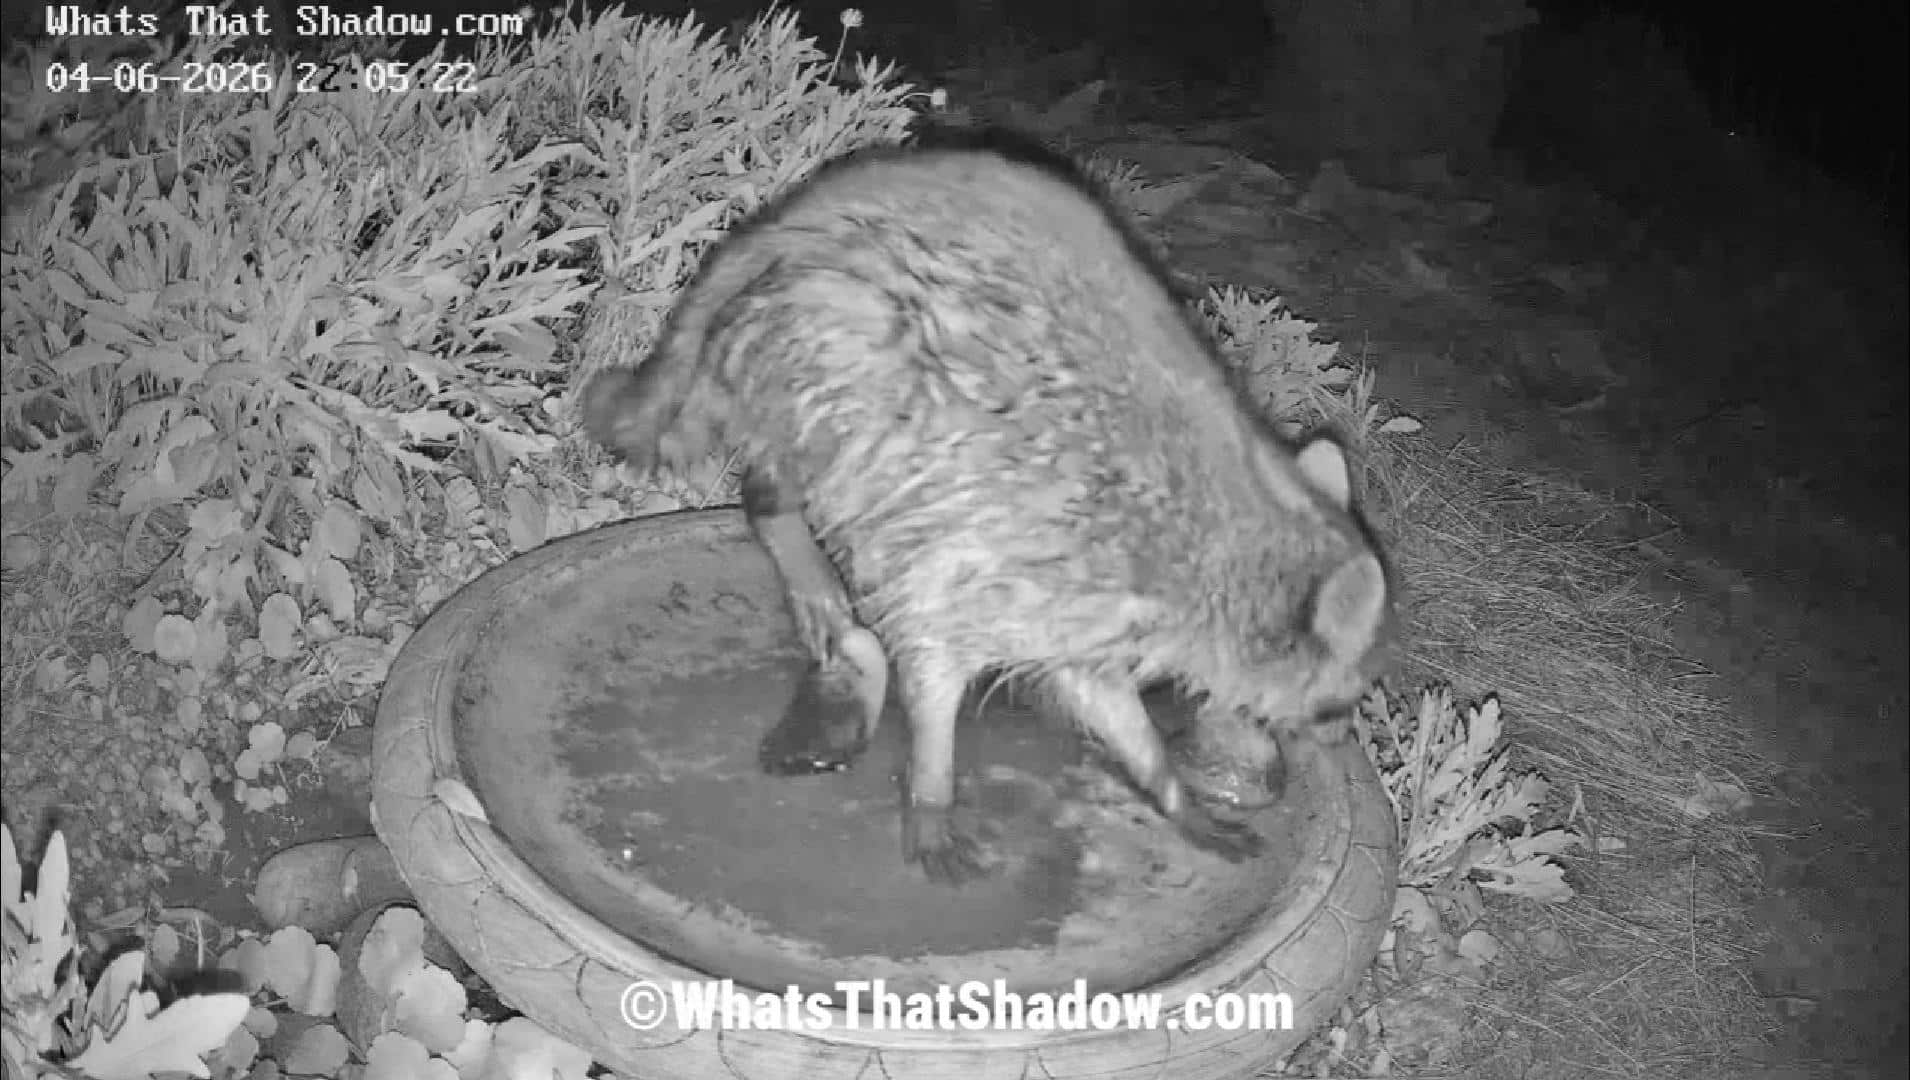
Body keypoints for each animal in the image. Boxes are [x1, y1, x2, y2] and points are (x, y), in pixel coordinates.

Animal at [582, 127, 1394, 884]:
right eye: (1332, 703)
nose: (1336, 731)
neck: (1225, 544)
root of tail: (790, 220)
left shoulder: (1087, 603)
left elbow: (1096, 691)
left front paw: (1165, 783)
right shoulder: (1014, 537)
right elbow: (933, 648)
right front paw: (933, 783)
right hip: (833, 339)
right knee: (798, 466)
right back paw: (794, 542)